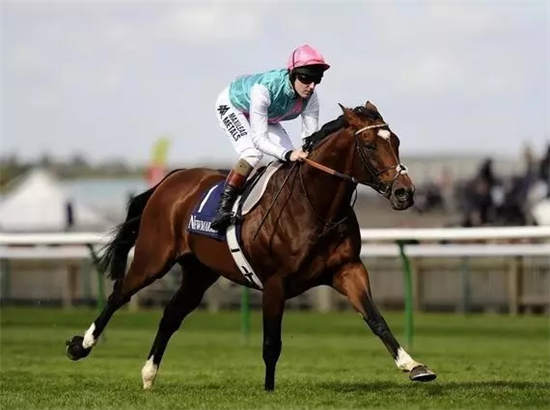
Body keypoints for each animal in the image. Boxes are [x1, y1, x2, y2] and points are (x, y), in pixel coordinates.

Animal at [66, 101, 436, 391]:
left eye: (396, 141)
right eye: (371, 145)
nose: (405, 192)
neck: (314, 206)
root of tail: (171, 179)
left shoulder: (346, 269)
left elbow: (376, 319)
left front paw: (414, 366)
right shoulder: (274, 282)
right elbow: (271, 342)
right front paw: (269, 391)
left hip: (199, 271)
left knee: (171, 315)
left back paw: (148, 374)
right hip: (154, 257)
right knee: (119, 293)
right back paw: (81, 345)